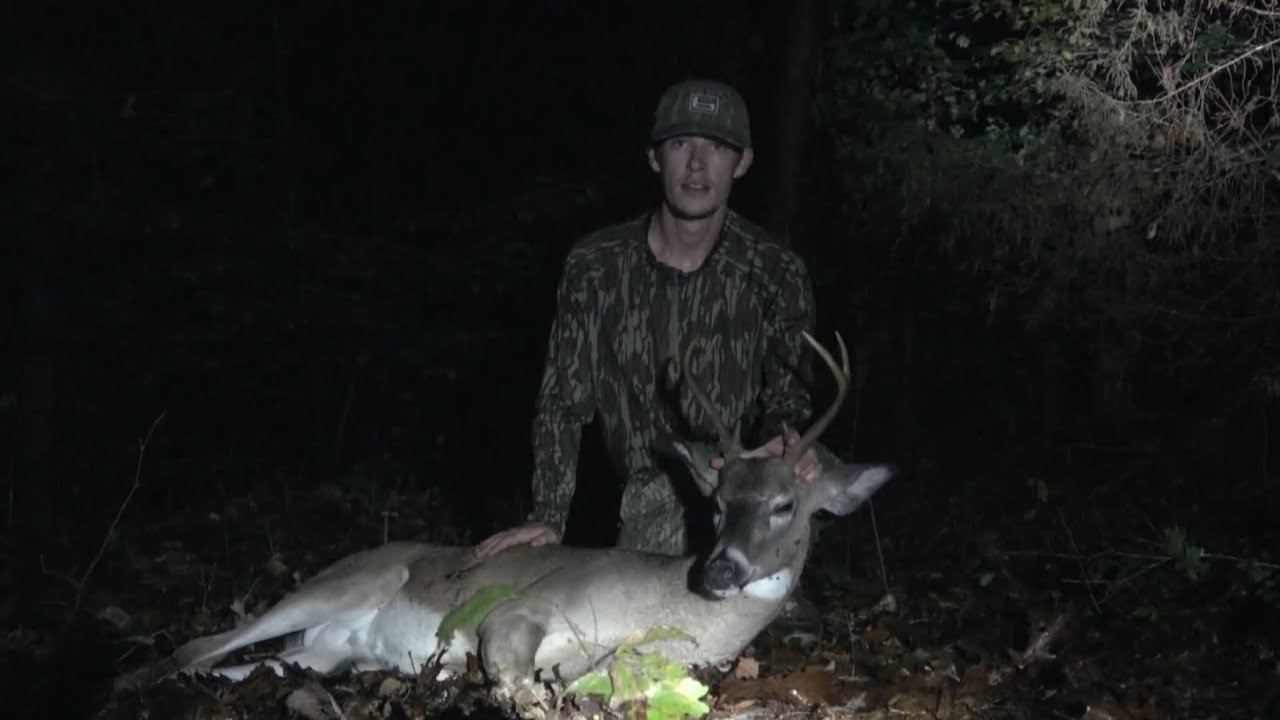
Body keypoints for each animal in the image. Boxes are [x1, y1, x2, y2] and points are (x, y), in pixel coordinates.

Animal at [113, 331, 895, 715]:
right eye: (717, 503)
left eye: (786, 505)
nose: (721, 568)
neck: (668, 615)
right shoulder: (522, 608)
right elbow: (517, 682)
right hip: (345, 581)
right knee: (200, 646)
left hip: (328, 654)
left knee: (237, 665)